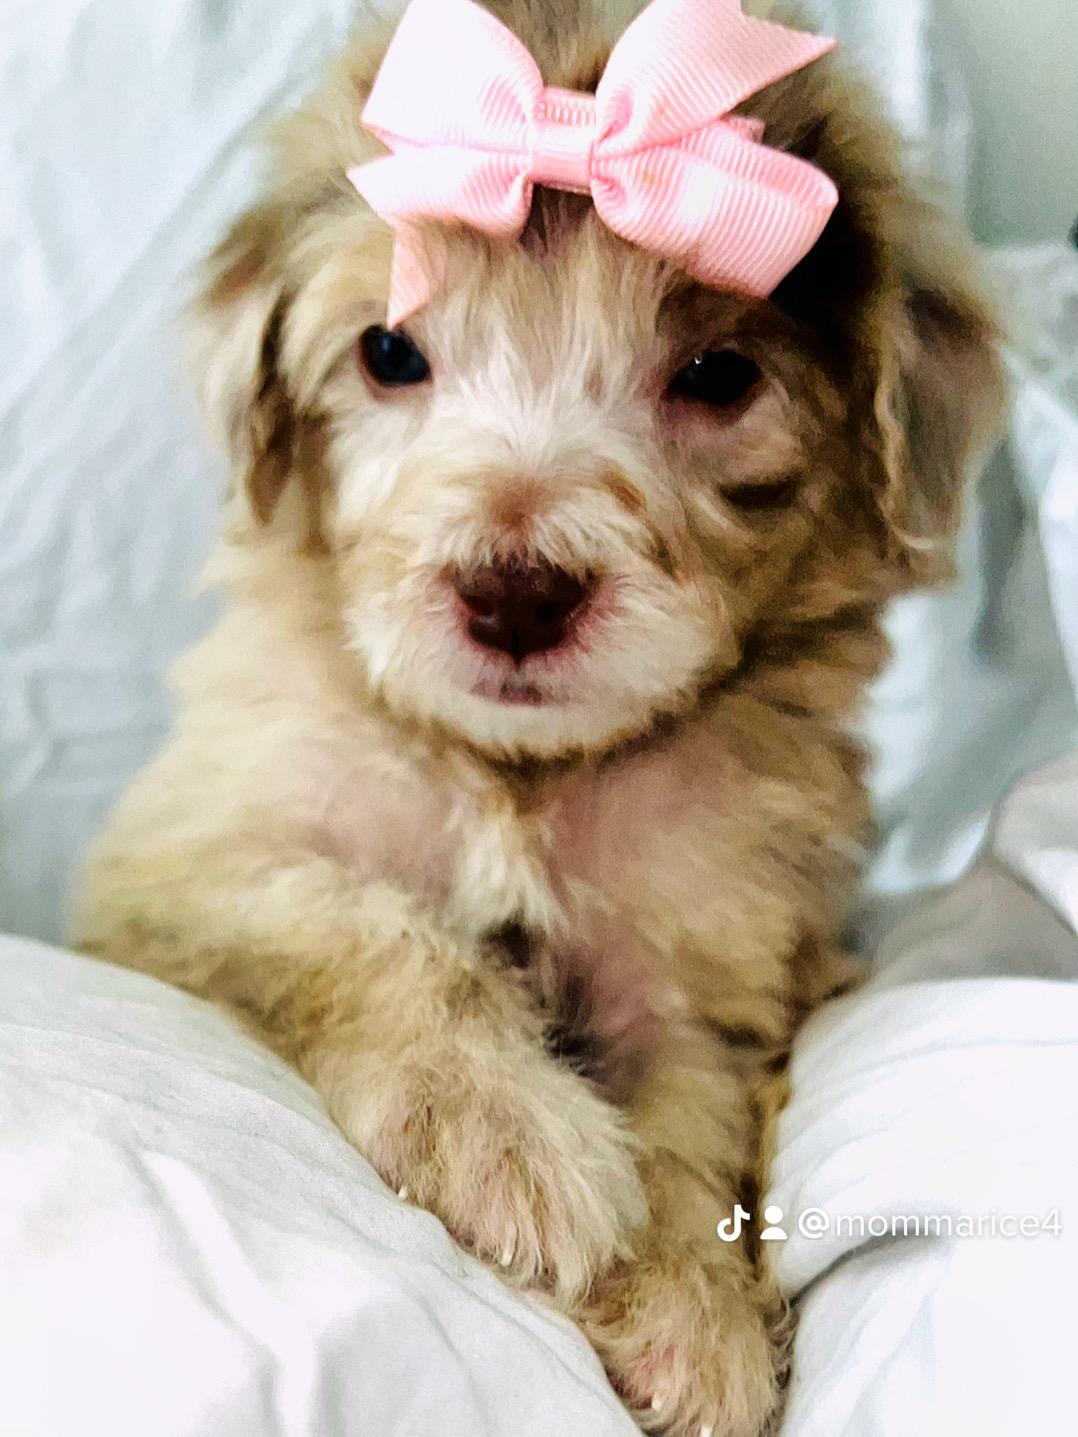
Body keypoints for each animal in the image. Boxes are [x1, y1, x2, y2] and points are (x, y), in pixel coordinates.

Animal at [73, 1, 1003, 1431]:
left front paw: (689, 1307)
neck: (518, 773)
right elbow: (354, 923)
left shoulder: (708, 954)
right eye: (389, 353)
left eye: (717, 375)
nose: (514, 592)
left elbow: (690, 1120)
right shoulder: (189, 865)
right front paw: (502, 1128)